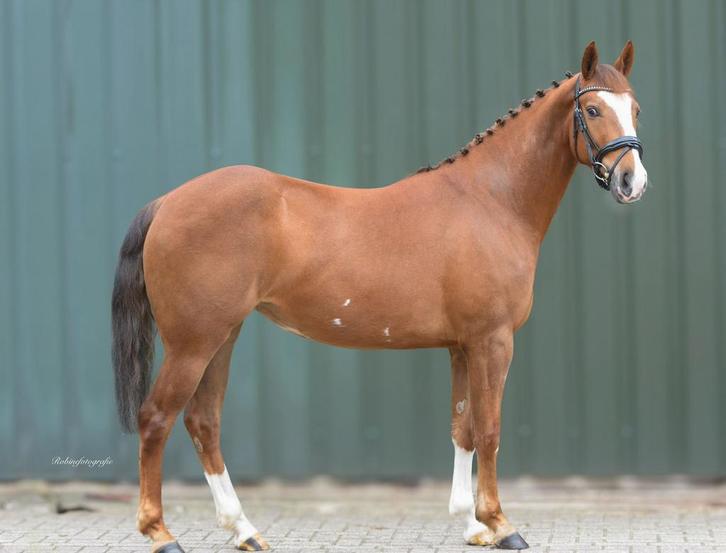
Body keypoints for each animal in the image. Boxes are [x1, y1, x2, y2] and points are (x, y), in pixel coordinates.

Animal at [112, 40, 647, 552]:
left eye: (636, 109)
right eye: (593, 109)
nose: (632, 181)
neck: (490, 201)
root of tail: (168, 202)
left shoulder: (461, 347)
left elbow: (463, 428)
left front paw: (470, 524)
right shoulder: (492, 342)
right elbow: (490, 430)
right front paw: (500, 524)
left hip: (222, 338)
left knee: (203, 423)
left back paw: (244, 531)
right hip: (193, 344)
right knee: (156, 419)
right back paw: (161, 534)